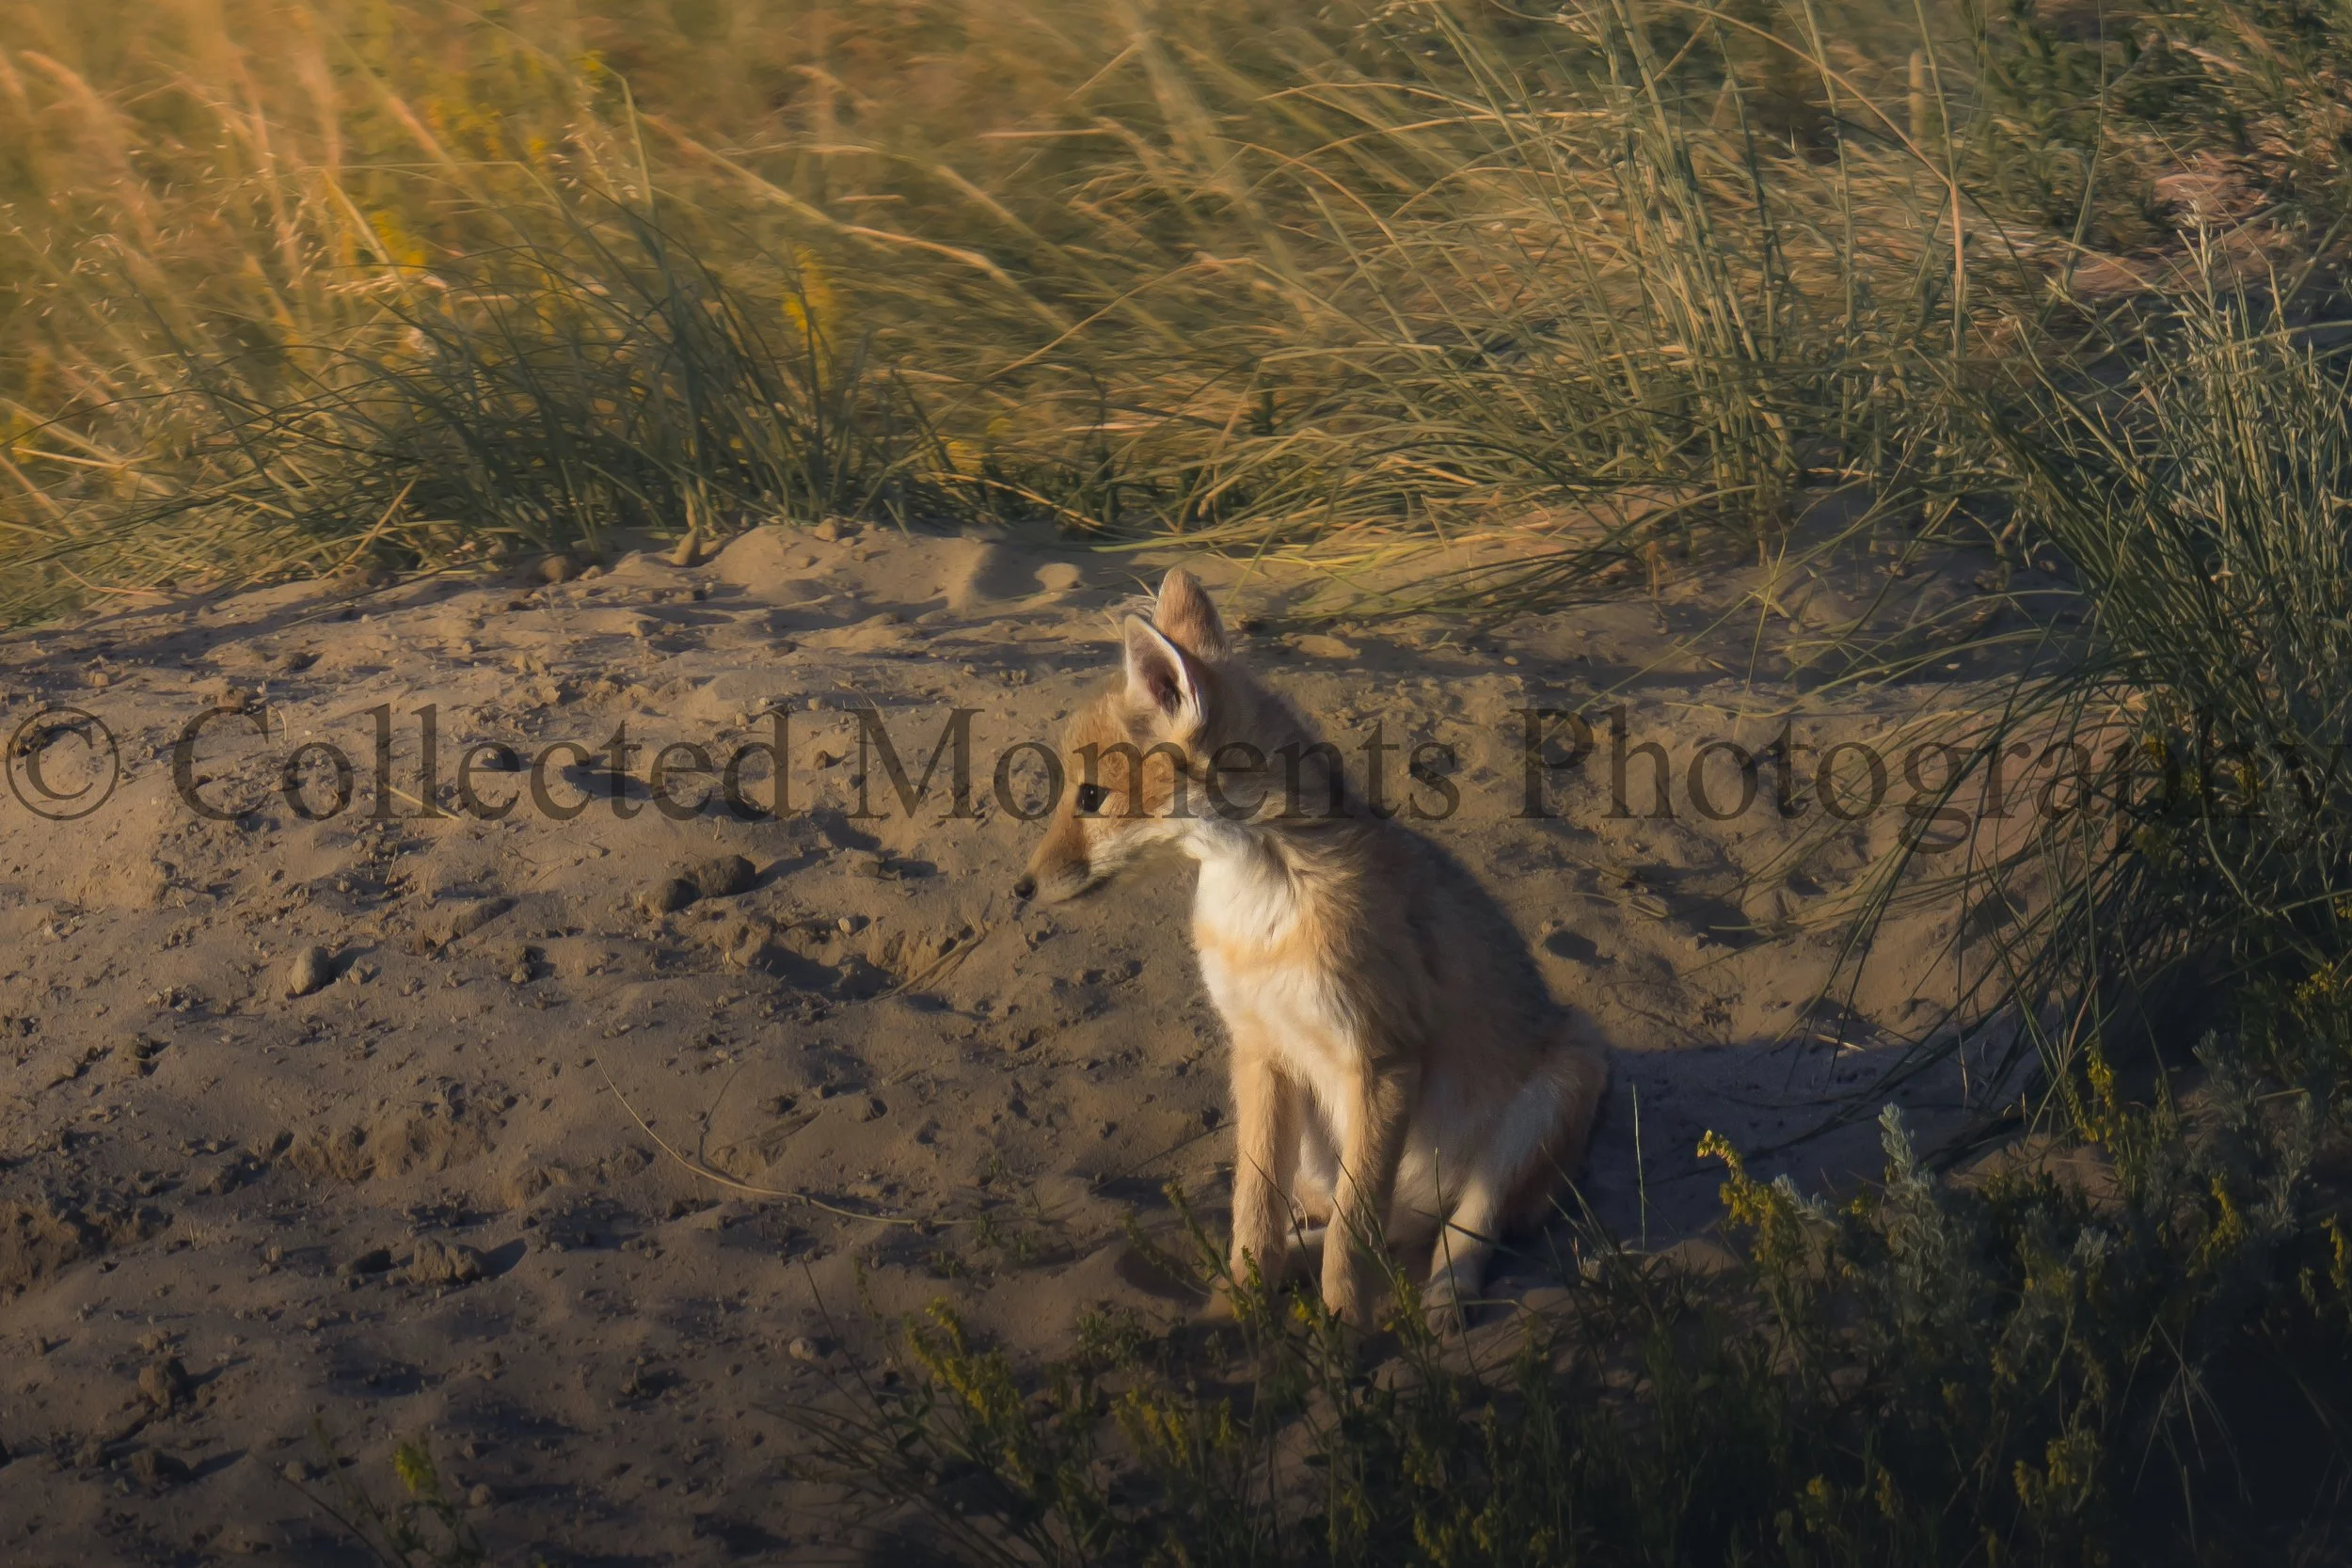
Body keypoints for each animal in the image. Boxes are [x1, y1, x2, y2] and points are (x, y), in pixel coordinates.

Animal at [1014, 568, 1607, 1328]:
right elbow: (1253, 1212)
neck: (1262, 910)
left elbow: (1354, 1237)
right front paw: (1240, 1301)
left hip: (1556, 1088)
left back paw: (1442, 1304)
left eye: (1091, 796)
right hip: (1317, 1153)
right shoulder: (1259, 1053)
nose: (1022, 887)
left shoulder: (1382, 1060)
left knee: (1457, 1232)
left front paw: (1346, 1327)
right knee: (1368, 1226)